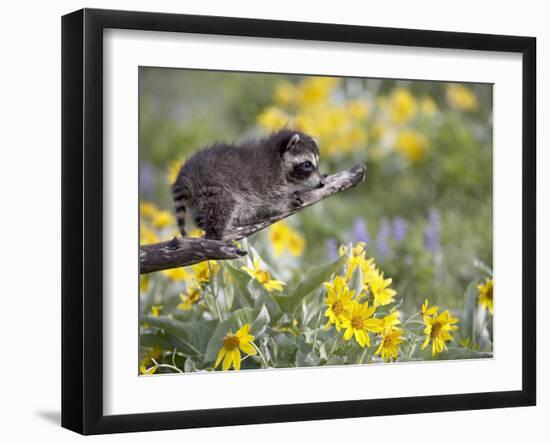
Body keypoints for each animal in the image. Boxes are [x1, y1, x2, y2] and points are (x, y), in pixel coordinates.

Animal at [175, 130, 326, 241]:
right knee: (225, 205)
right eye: (307, 164)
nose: (321, 184)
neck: (278, 157)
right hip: (214, 185)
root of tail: (187, 174)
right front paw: (288, 199)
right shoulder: (268, 181)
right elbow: (273, 201)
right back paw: (217, 233)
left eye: (317, 163)